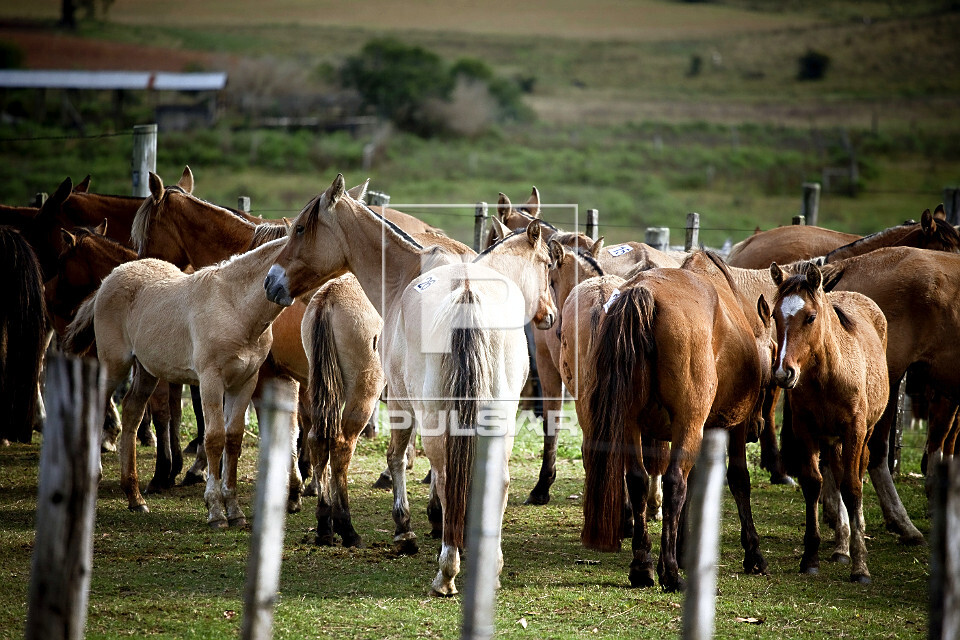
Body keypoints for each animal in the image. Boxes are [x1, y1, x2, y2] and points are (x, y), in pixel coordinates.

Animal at [266, 174, 560, 596]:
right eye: (548, 265)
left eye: (302, 228)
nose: (271, 282)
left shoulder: (403, 404)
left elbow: (399, 458)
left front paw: (408, 529)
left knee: (346, 448)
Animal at [576, 250, 772, 592]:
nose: (757, 429)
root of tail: (643, 291)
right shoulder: (729, 426)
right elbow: (737, 480)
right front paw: (753, 553)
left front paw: (683, 550)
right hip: (688, 424)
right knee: (674, 482)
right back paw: (668, 571)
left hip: (630, 424)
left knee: (638, 480)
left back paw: (643, 566)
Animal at [768, 262, 888, 584]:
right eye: (774, 315)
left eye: (810, 317)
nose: (783, 373)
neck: (827, 375)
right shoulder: (805, 429)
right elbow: (813, 483)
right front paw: (810, 558)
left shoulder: (854, 430)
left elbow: (852, 487)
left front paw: (861, 566)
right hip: (833, 440)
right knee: (835, 471)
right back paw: (840, 547)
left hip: (864, 433)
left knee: (855, 473)